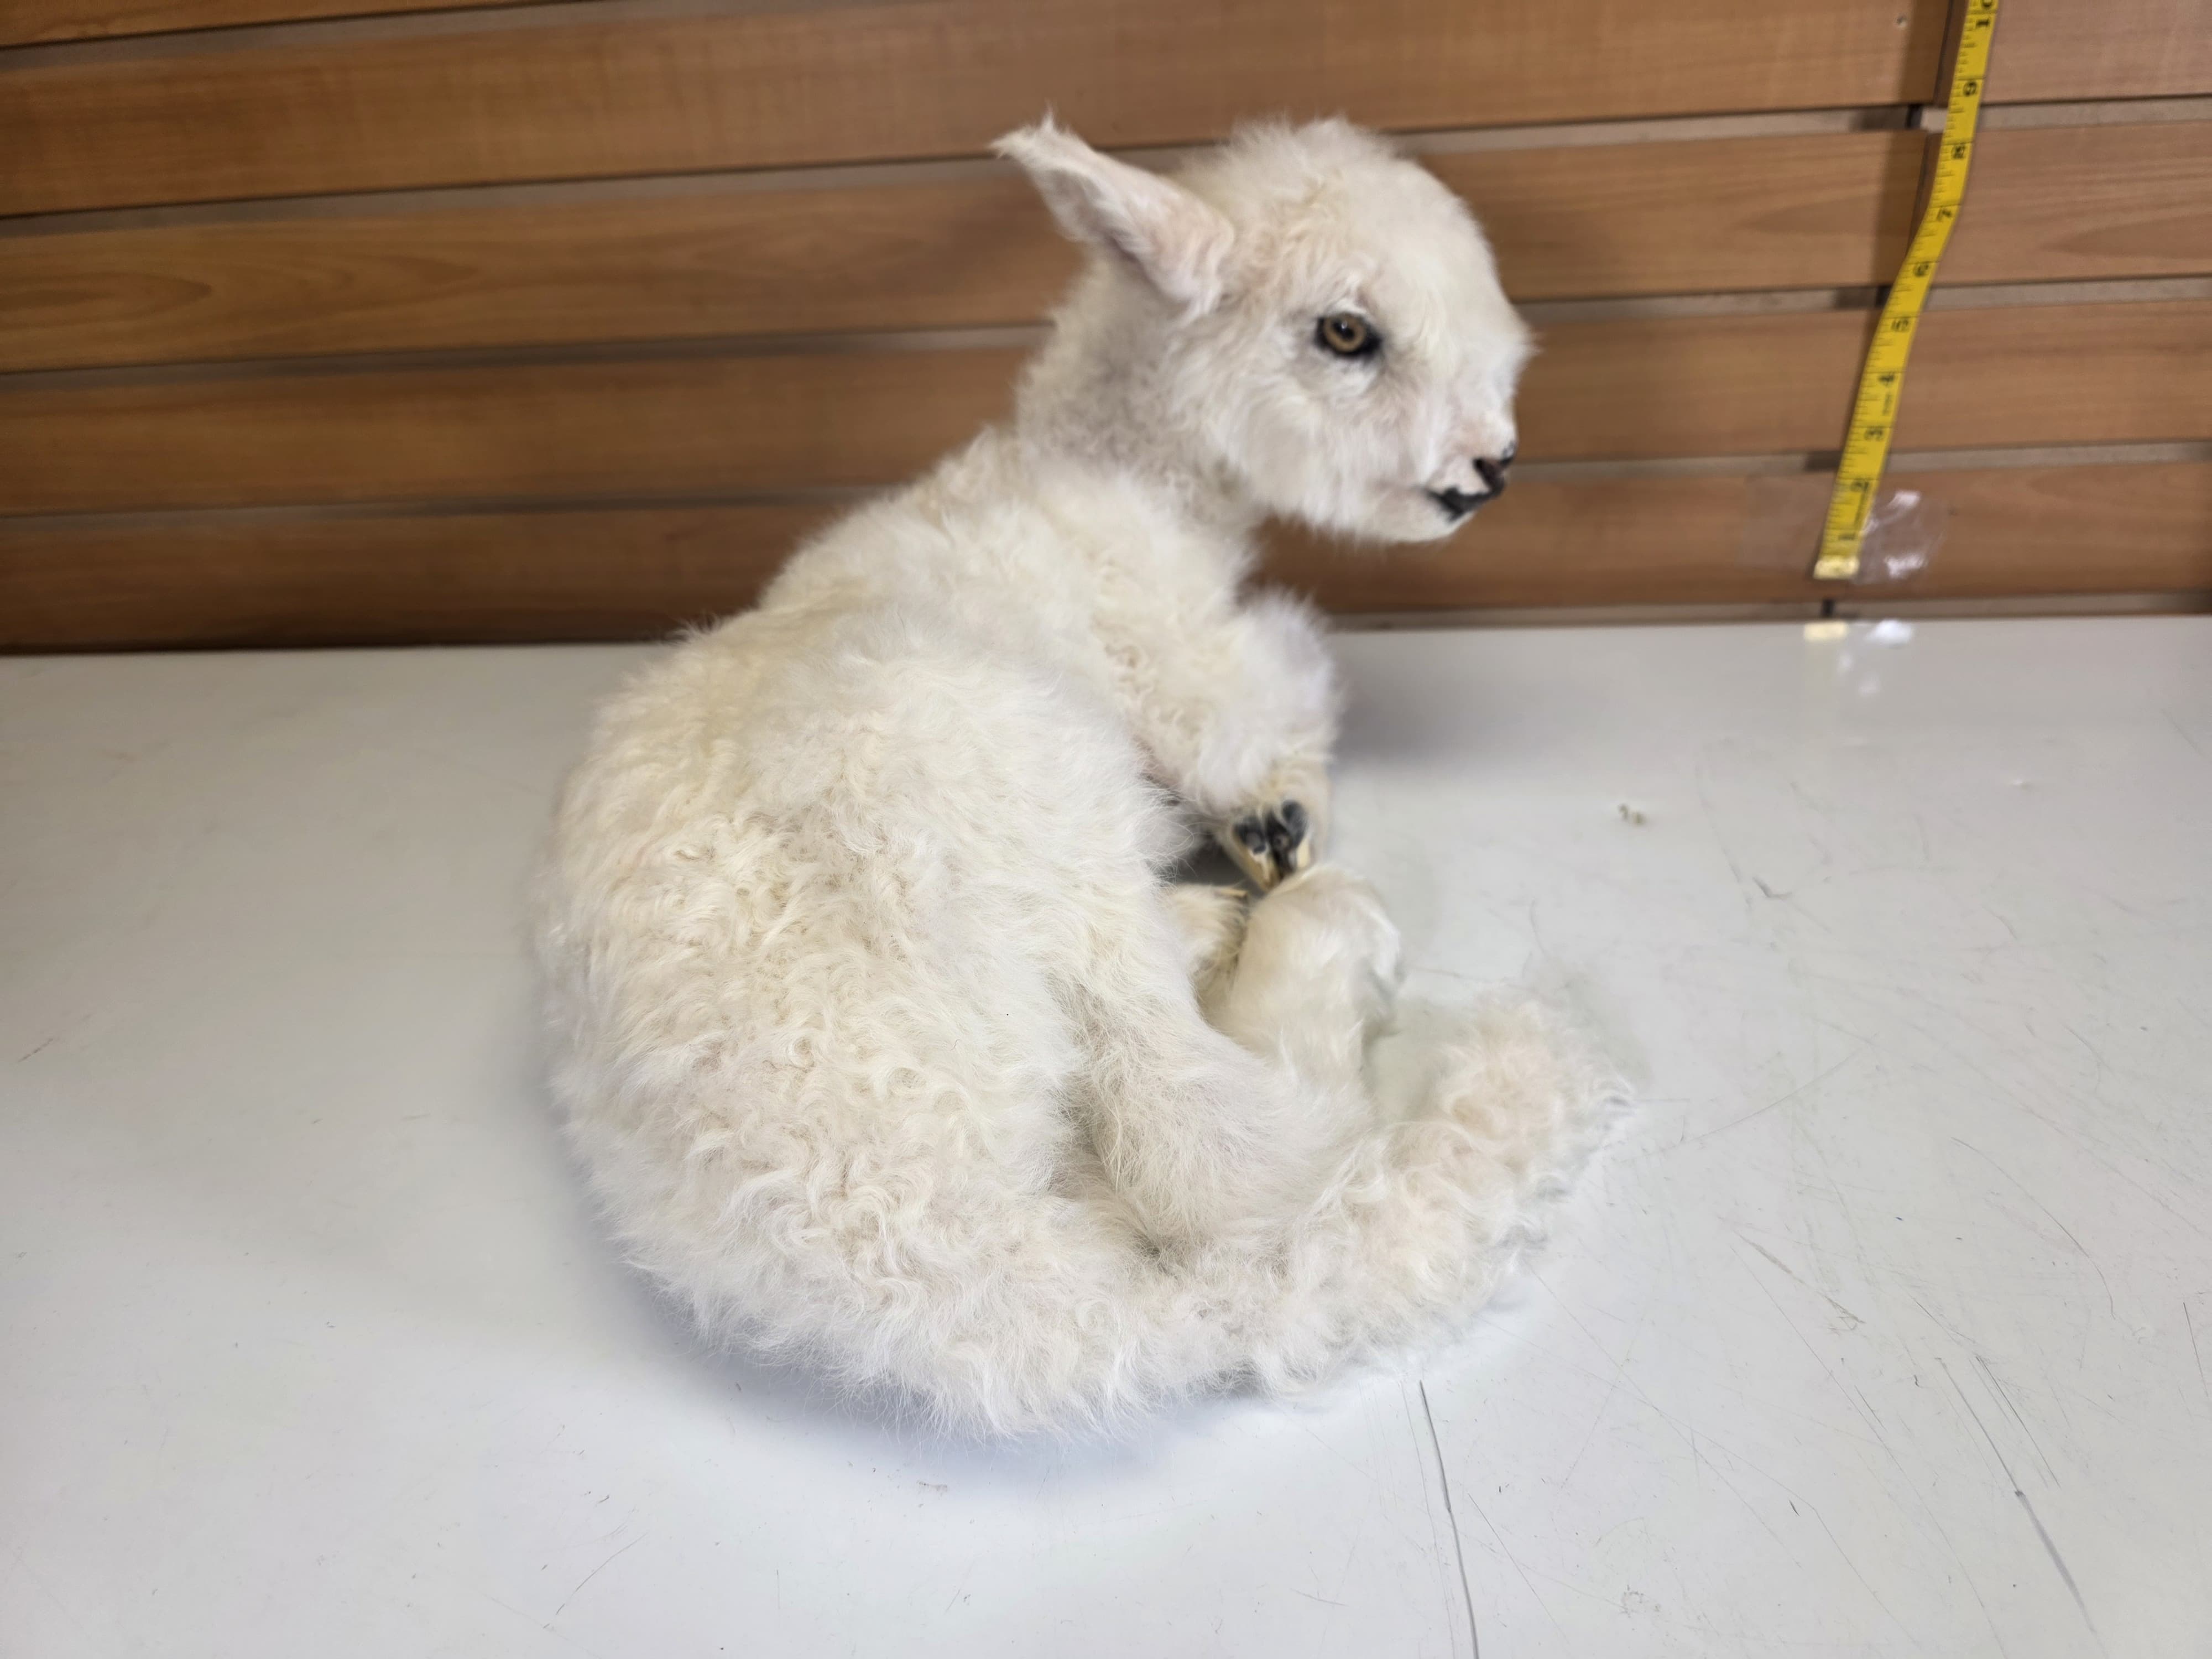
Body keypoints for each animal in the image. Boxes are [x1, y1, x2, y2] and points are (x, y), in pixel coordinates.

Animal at [535, 117, 1621, 1436]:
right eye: (1345, 332)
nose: (1488, 469)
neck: (1109, 478)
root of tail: (895, 1223)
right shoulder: (1184, 671)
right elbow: (1269, 715)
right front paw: (1281, 818)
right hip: (1037, 822)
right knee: (1225, 1162)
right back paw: (1303, 934)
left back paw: (1207, 920)